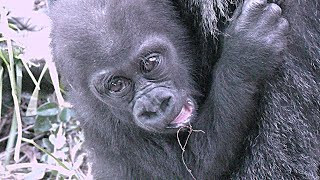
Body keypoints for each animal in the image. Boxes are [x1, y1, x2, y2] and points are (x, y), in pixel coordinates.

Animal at [50, 0, 288, 178]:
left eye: (150, 62)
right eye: (116, 85)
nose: (154, 104)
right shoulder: (104, 124)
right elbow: (192, 167)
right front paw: (245, 55)